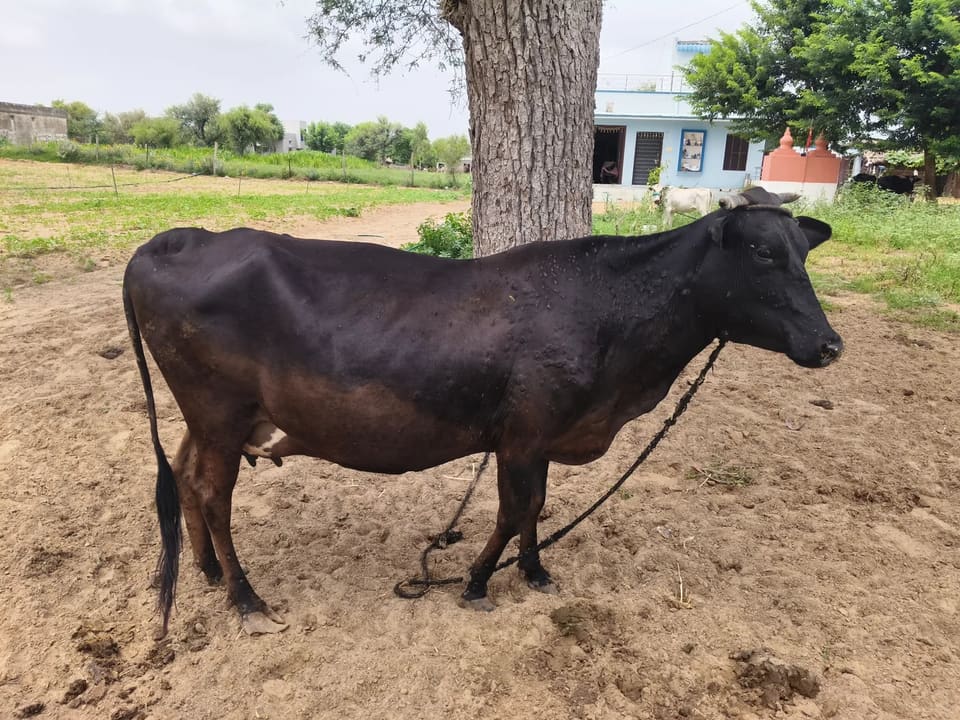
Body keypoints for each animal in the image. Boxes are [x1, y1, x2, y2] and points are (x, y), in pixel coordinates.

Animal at [123, 186, 843, 637]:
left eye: (804, 253)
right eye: (763, 252)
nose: (830, 343)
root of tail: (180, 238)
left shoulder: (542, 435)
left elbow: (536, 508)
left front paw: (534, 570)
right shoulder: (522, 434)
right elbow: (513, 508)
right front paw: (476, 582)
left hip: (208, 419)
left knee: (185, 477)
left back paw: (209, 572)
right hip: (219, 410)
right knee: (212, 494)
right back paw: (246, 597)